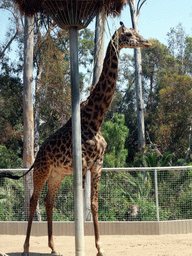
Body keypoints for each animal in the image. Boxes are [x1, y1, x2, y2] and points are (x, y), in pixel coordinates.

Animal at [0, 22, 152, 256]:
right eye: (128, 34)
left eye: (136, 32)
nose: (147, 42)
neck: (95, 120)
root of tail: (39, 151)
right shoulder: (82, 164)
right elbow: (80, 207)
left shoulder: (97, 164)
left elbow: (94, 204)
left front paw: (100, 248)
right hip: (42, 169)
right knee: (34, 200)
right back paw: (25, 248)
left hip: (57, 173)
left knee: (49, 201)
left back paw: (53, 248)